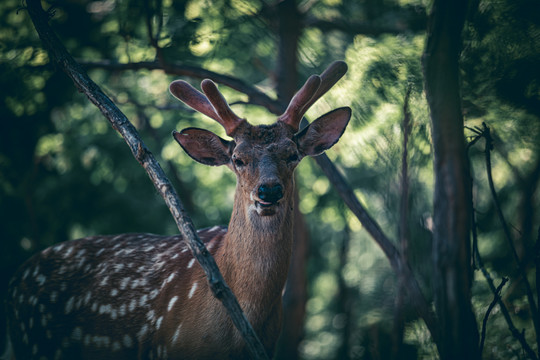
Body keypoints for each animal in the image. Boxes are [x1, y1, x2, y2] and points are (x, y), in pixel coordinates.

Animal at [6, 60, 352, 358]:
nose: (269, 190)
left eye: (292, 154)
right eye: (237, 158)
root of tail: (16, 278)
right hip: (31, 340)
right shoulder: (168, 346)